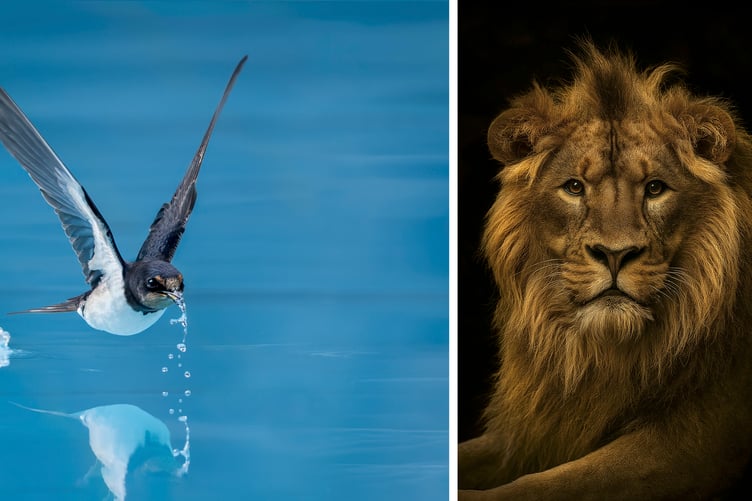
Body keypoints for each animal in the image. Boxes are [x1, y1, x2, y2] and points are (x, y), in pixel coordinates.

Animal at [458, 40, 752, 500]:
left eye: (655, 188)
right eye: (575, 187)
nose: (615, 254)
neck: (601, 354)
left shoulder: (697, 443)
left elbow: (546, 487)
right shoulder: (529, 433)